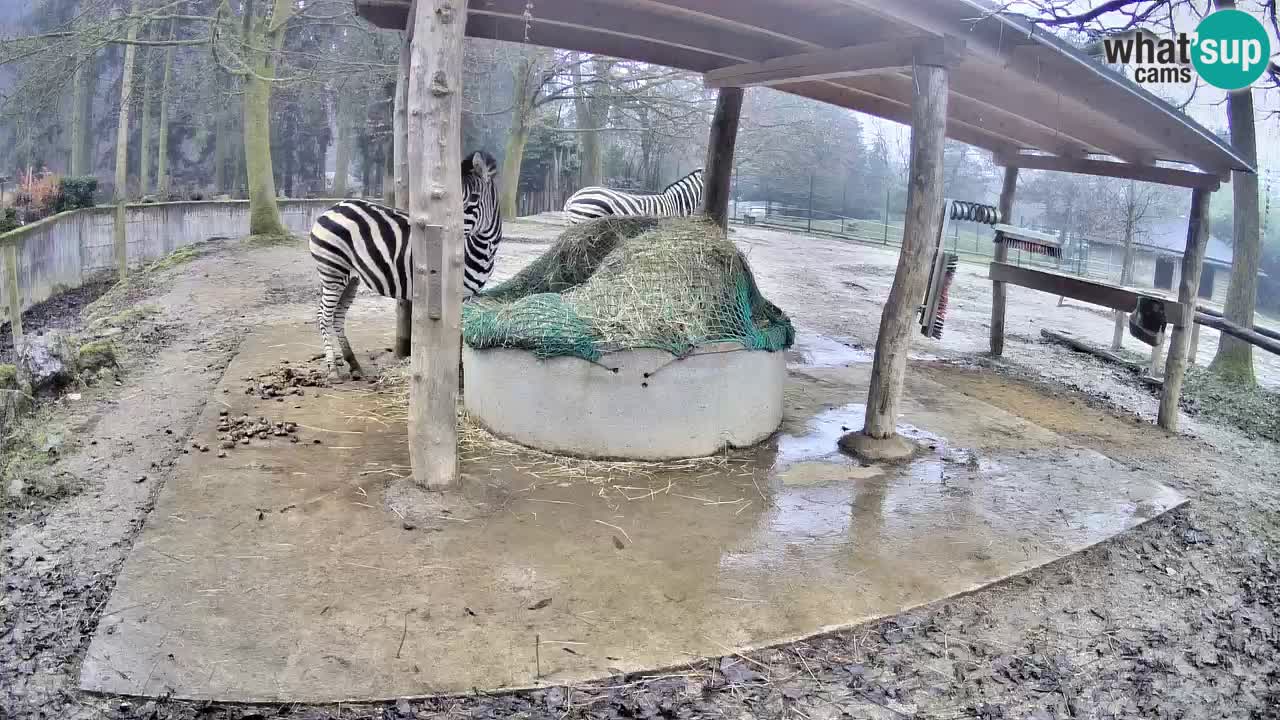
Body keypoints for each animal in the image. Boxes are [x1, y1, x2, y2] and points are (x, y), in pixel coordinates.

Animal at [308, 150, 501, 379]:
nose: (445, 233)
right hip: (333, 272)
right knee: (324, 316)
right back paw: (333, 369)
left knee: (337, 315)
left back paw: (353, 363)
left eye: (474, 197)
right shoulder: (454, 295)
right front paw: (458, 374)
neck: (482, 248)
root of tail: (332, 207)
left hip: (350, 278)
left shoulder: (467, 296)